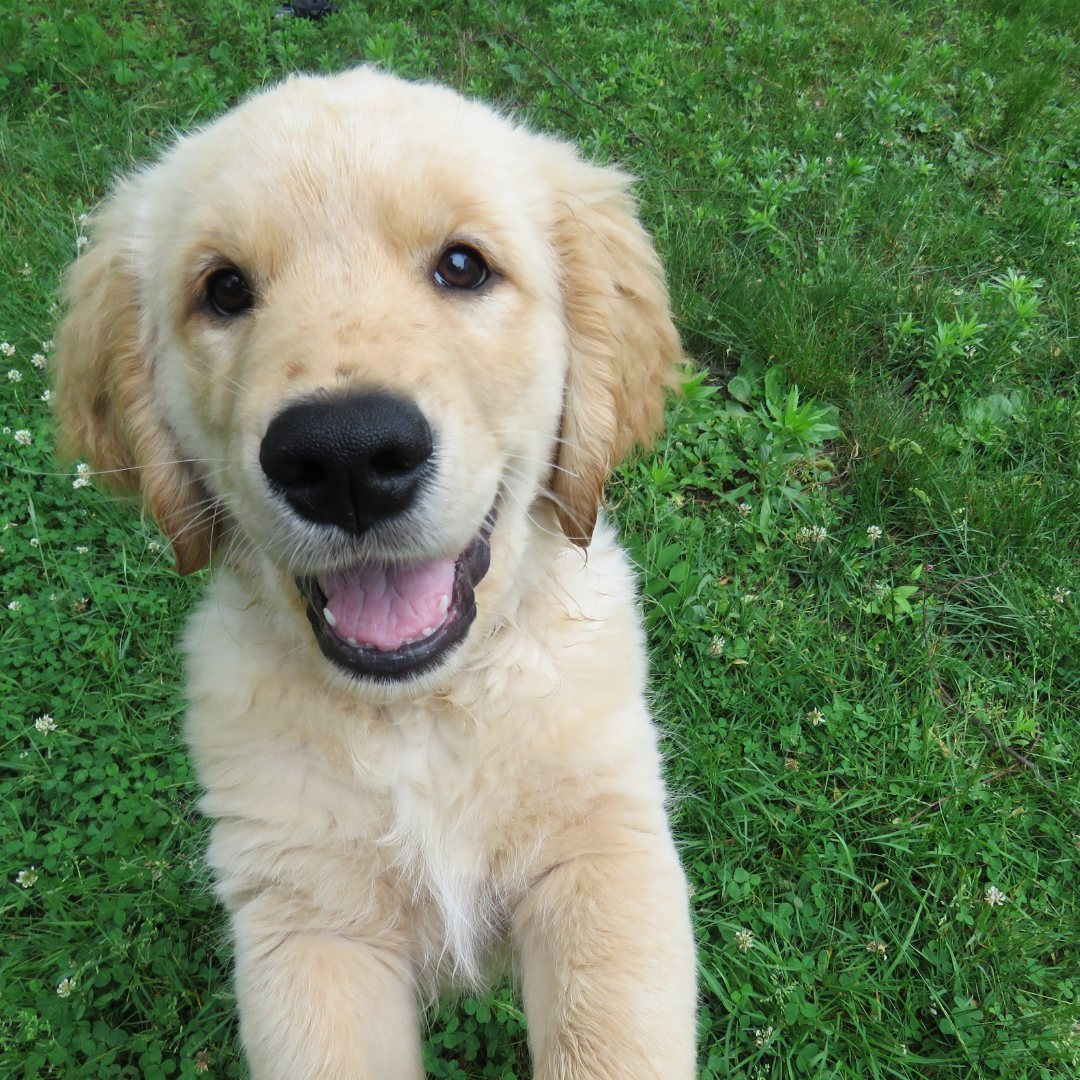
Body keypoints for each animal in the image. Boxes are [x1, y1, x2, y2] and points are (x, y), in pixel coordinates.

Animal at [50, 67, 695, 1080]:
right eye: (223, 288)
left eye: (463, 266)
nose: (345, 456)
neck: (418, 718)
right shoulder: (303, 917)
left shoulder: (606, 854)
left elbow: (611, 1042)